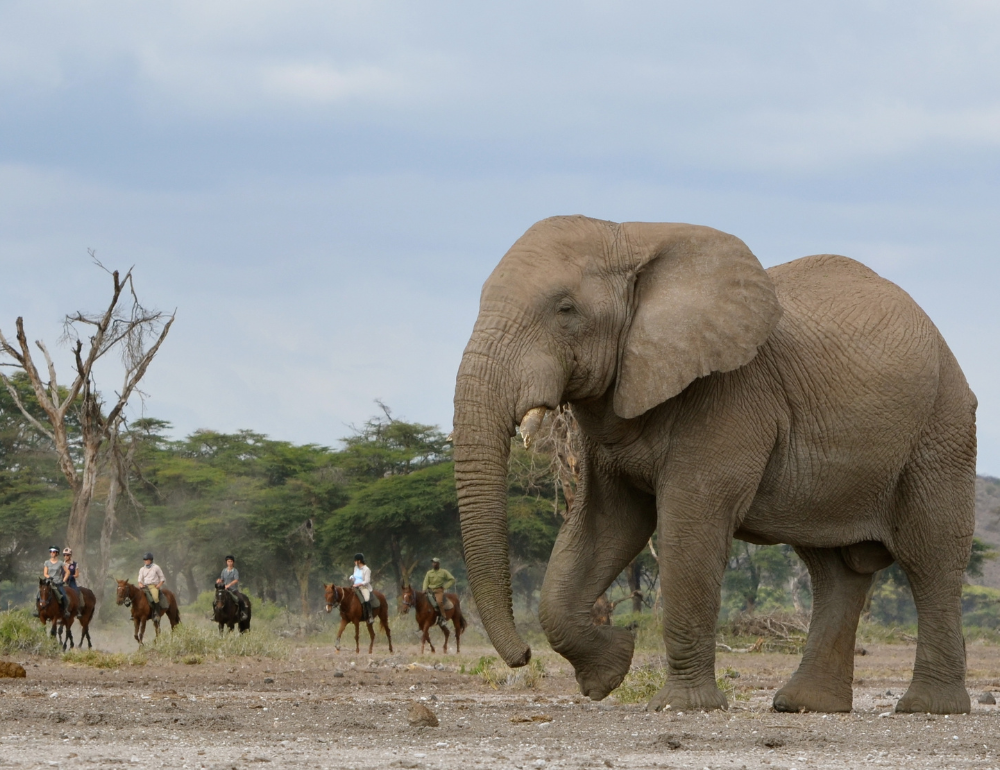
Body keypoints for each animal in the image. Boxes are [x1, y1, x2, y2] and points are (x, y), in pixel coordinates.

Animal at [454, 213, 976, 712]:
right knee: (833, 571)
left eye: (565, 310)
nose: (522, 656)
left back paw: (927, 708)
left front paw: (679, 706)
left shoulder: (731, 393)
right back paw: (803, 705)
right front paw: (609, 672)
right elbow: (603, 527)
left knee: (930, 556)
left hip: (941, 427)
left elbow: (689, 527)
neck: (634, 241)